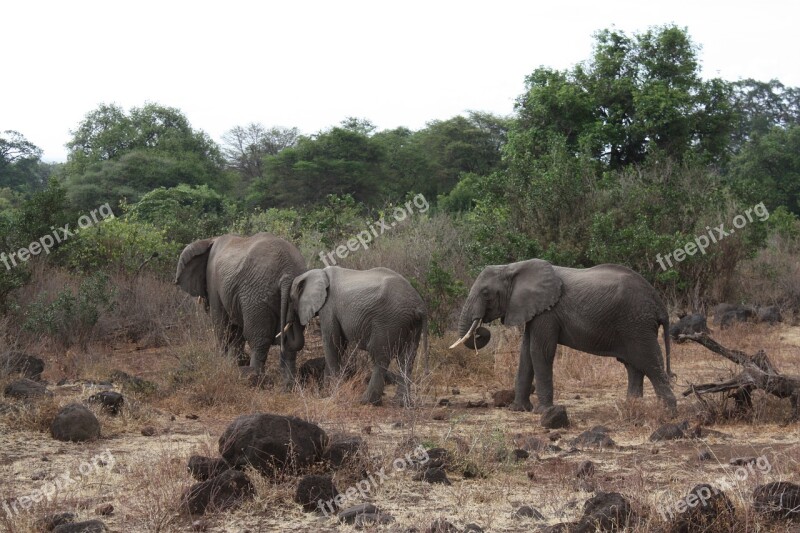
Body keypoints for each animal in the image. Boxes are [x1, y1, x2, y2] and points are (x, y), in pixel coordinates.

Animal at [175, 231, 306, 384]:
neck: (210, 240)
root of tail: (287, 275)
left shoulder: (213, 282)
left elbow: (221, 325)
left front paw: (222, 363)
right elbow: (236, 330)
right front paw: (233, 363)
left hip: (256, 295)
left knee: (258, 339)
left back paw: (254, 378)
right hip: (296, 297)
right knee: (289, 342)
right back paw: (288, 385)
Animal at [284, 264, 428, 406]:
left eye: (291, 300)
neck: (319, 272)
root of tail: (419, 306)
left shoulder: (329, 307)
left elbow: (332, 343)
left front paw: (330, 393)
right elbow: (340, 346)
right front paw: (327, 392)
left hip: (388, 321)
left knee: (380, 357)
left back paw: (367, 401)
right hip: (411, 324)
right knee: (407, 359)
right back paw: (401, 403)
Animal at [450, 258, 676, 412]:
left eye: (485, 293)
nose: (481, 329)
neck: (513, 267)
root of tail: (659, 304)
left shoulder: (548, 312)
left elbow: (540, 351)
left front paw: (543, 412)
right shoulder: (535, 310)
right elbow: (526, 353)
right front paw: (519, 409)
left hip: (636, 323)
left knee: (649, 360)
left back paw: (667, 411)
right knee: (634, 365)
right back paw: (632, 406)